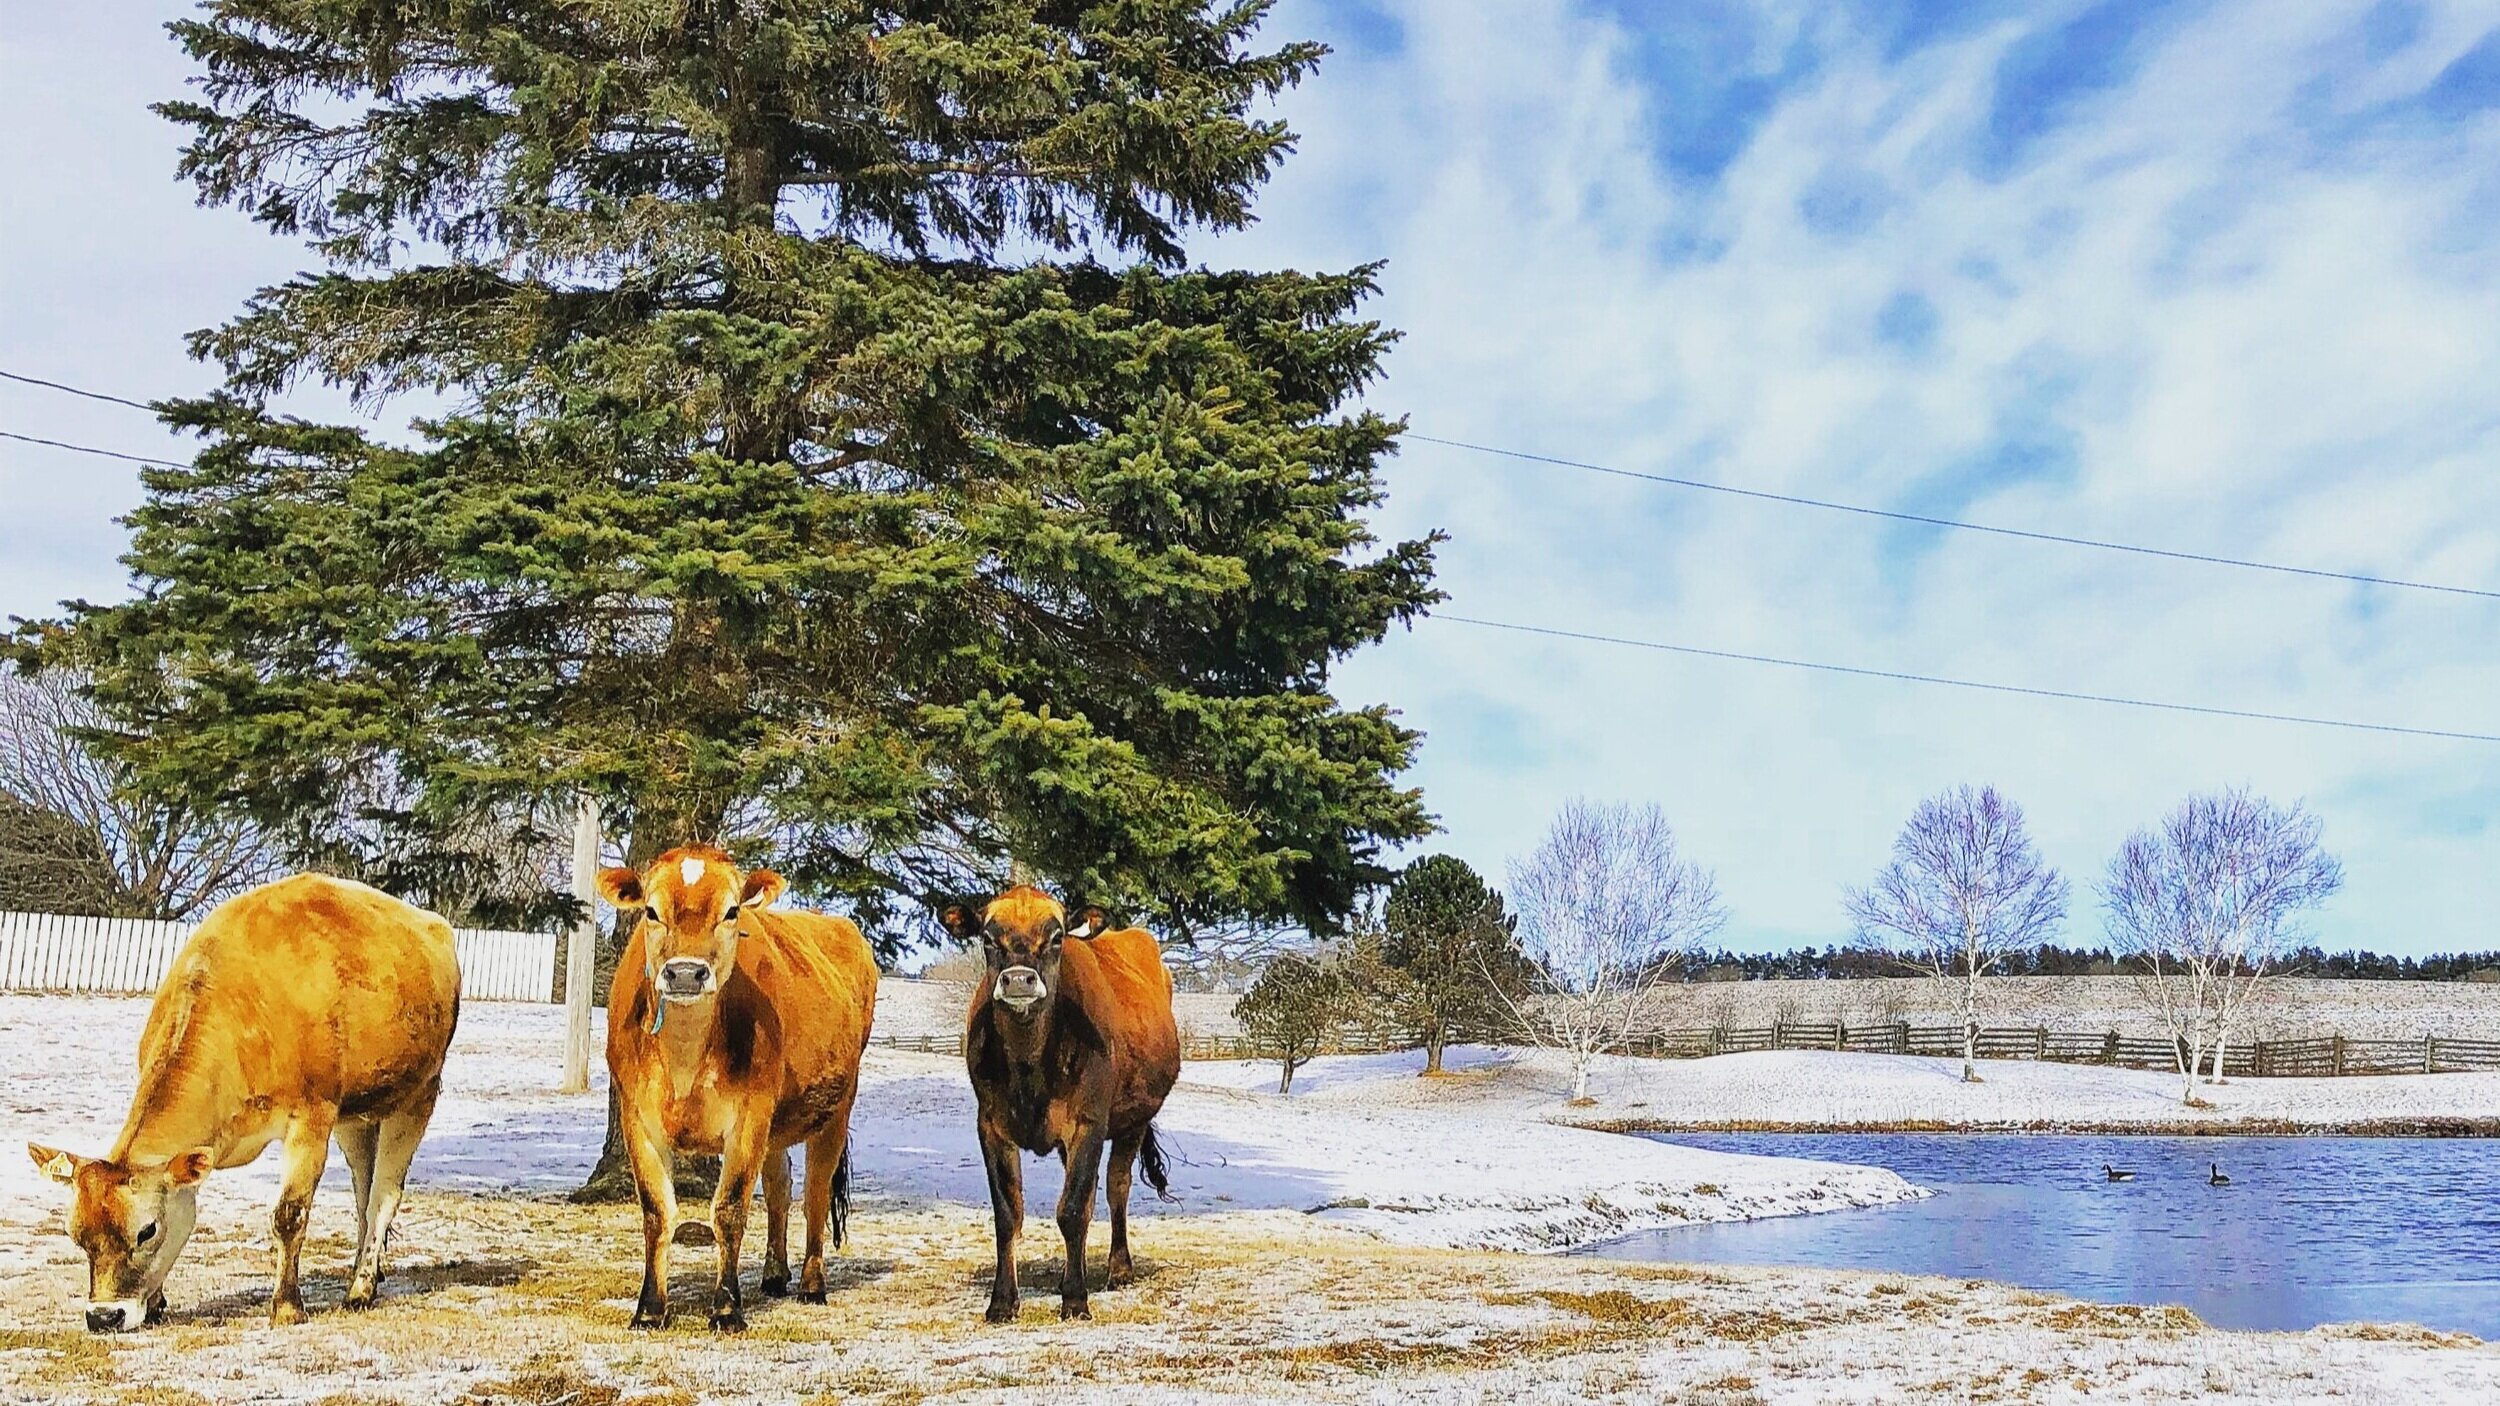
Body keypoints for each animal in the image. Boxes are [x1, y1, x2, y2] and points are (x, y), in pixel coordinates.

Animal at [27, 873, 460, 1332]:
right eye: (75, 1234)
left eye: (147, 1230)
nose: (104, 1316)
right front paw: (157, 1300)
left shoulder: (312, 1116)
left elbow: (289, 1214)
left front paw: (287, 1307)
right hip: (354, 1115)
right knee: (364, 1188)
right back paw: (368, 1269)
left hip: (418, 1095)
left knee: (384, 1194)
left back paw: (360, 1288)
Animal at [601, 846, 878, 1332]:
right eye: (651, 911)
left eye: (731, 912)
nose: (686, 974)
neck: (684, 1058)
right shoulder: (637, 1119)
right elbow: (657, 1212)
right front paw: (649, 1309)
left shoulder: (749, 1116)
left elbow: (729, 1210)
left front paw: (727, 1309)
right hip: (777, 1127)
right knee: (781, 1188)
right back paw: (774, 1275)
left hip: (836, 1109)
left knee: (815, 1194)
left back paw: (811, 1285)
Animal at [942, 886, 1181, 1322]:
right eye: (987, 938)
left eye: (1056, 938)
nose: (1019, 979)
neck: (1030, 1068)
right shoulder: (990, 1125)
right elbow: (1008, 1214)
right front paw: (1002, 1301)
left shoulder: (1088, 1123)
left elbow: (1071, 1210)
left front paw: (1075, 1299)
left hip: (1133, 1121)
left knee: (1115, 1187)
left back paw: (1119, 1268)